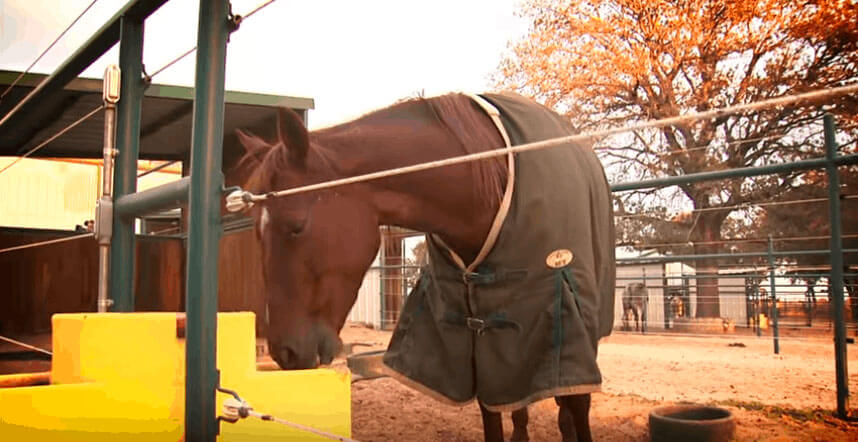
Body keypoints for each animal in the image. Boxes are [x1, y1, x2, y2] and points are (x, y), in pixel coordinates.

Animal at [237, 94, 612, 442]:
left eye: (296, 226)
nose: (285, 352)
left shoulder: (563, 318)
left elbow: (576, 404)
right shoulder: (478, 337)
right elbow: (493, 411)